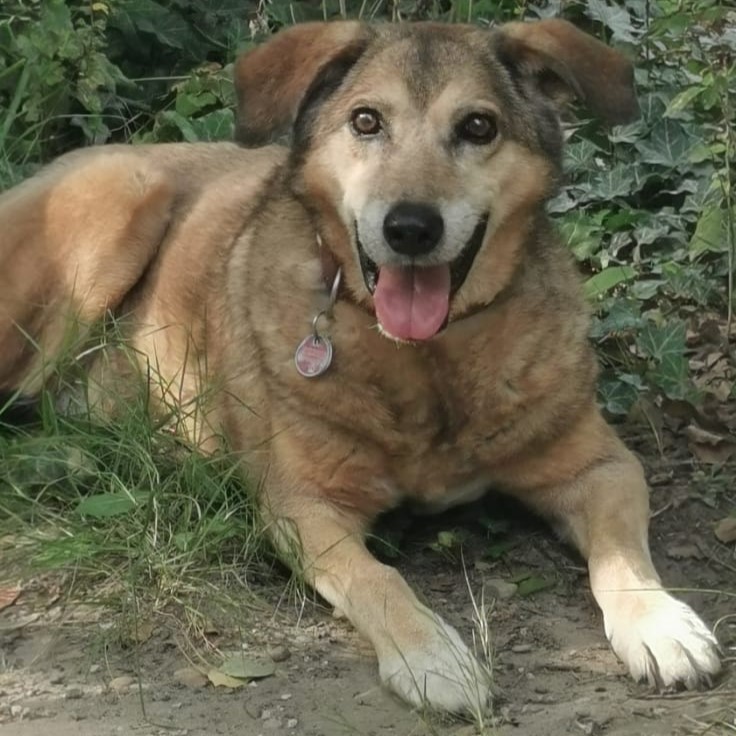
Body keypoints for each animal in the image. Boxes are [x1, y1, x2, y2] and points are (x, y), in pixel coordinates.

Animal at [0, 19, 721, 713]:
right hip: (122, 198)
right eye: (366, 121)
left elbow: (622, 554)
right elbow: (378, 577)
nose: (410, 228)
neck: (427, 360)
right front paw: (432, 656)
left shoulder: (601, 466)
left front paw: (661, 622)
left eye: (478, 126)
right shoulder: (303, 506)